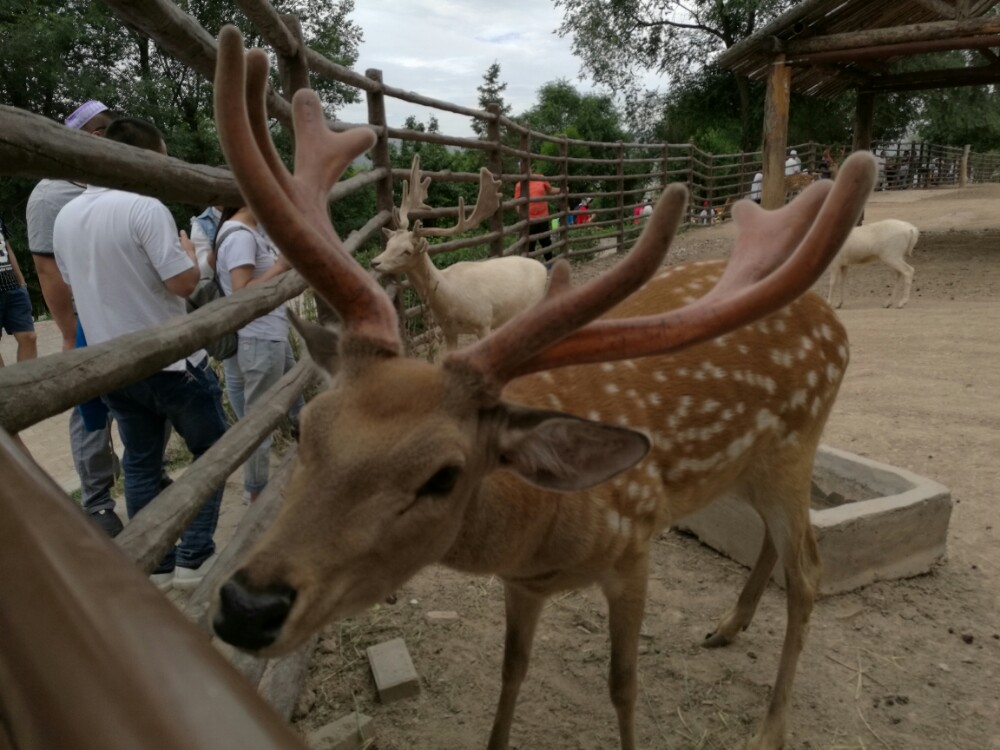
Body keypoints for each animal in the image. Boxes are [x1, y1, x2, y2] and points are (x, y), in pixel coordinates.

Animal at [374, 155, 552, 352]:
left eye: (407, 251)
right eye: (388, 244)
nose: (375, 262)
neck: (451, 300)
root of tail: (543, 268)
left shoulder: (484, 321)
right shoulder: (448, 329)